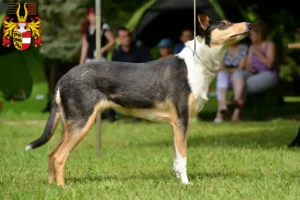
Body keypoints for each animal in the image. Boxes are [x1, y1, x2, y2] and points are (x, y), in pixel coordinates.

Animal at [25, 13, 251, 186]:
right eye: (224, 24)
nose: (249, 24)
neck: (198, 63)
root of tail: (63, 77)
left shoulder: (176, 124)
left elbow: (176, 158)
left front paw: (179, 181)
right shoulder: (182, 120)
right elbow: (184, 157)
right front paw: (187, 184)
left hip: (70, 124)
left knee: (51, 154)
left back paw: (52, 186)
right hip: (82, 122)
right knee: (59, 156)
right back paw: (64, 188)